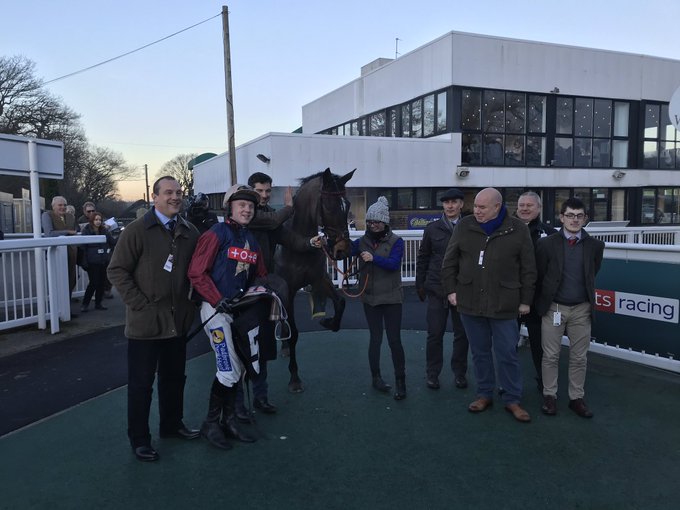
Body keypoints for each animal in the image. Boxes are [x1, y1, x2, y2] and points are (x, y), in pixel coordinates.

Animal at [276, 167, 356, 390]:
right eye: (328, 205)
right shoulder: (288, 290)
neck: (299, 244)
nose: (343, 249)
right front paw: (294, 377)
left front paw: (328, 322)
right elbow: (294, 331)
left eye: (347, 205)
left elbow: (341, 303)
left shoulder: (320, 279)